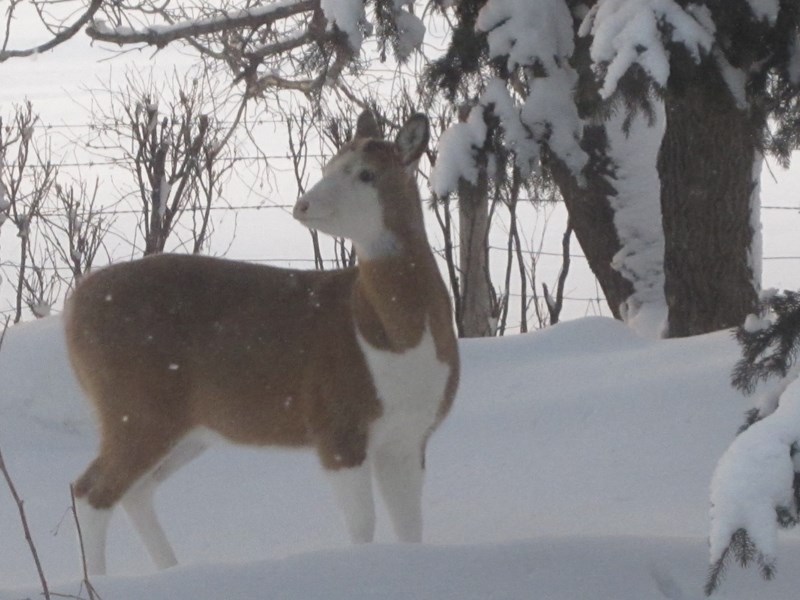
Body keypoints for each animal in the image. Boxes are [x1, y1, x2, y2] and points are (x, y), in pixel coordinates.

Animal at [65, 110, 460, 576]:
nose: (302, 204)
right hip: (133, 403)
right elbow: (363, 527)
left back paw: (171, 570)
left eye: (366, 174)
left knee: (134, 490)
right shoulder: (335, 421)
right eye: (328, 165)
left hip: (187, 426)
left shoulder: (409, 434)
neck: (395, 337)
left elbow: (410, 528)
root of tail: (73, 307)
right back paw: (100, 580)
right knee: (90, 491)